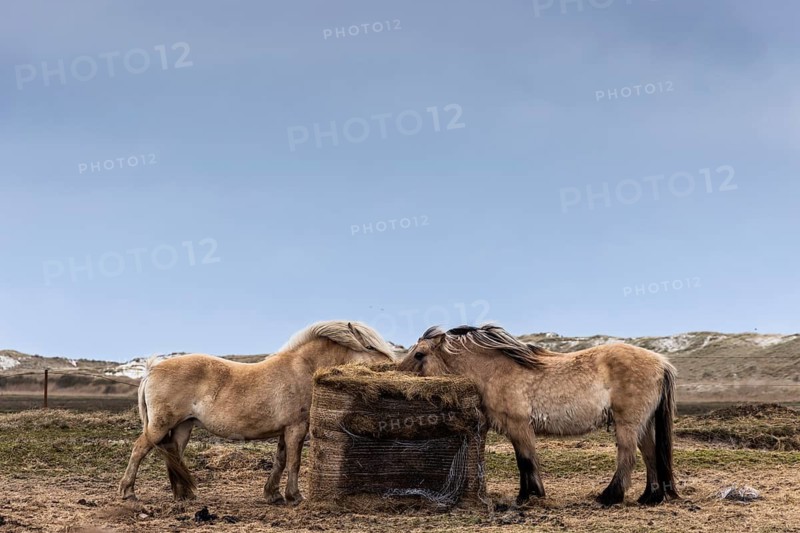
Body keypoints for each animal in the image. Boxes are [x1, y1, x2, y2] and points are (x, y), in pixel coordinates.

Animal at [118, 320, 395, 504]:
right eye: (369, 346)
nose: (393, 365)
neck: (302, 369)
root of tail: (152, 369)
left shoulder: (286, 430)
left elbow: (281, 460)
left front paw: (273, 495)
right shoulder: (297, 428)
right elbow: (294, 461)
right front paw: (295, 496)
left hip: (183, 427)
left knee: (174, 454)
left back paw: (183, 495)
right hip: (160, 426)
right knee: (139, 449)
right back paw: (128, 492)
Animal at [397, 324, 678, 506]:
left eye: (419, 354)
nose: (396, 376)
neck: (497, 370)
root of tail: (661, 362)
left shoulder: (519, 425)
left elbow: (525, 460)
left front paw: (527, 497)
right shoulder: (515, 429)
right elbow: (524, 460)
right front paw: (530, 493)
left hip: (627, 423)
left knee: (628, 457)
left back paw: (610, 496)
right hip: (643, 424)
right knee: (650, 455)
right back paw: (650, 497)